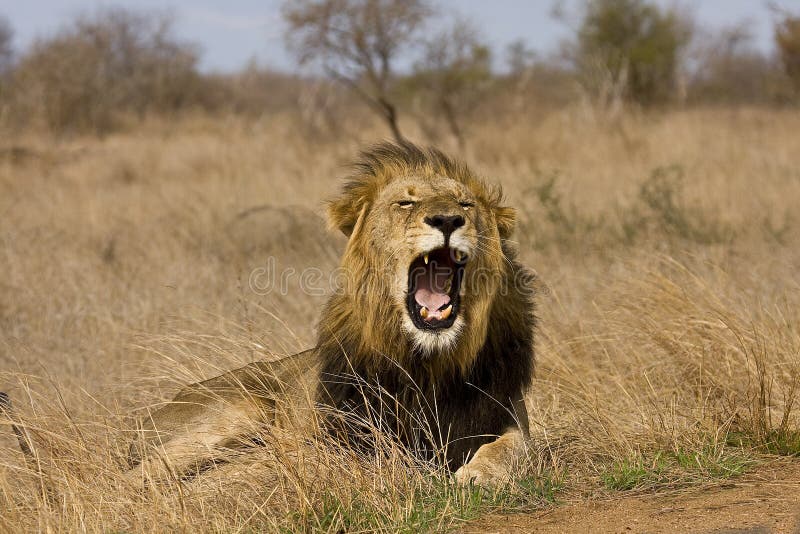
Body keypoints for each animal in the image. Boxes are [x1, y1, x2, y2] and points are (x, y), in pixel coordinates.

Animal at [126, 141, 536, 486]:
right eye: (405, 203)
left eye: (465, 205)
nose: (448, 220)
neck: (428, 362)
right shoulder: (351, 434)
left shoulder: (506, 414)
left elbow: (515, 447)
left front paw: (480, 475)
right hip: (241, 405)